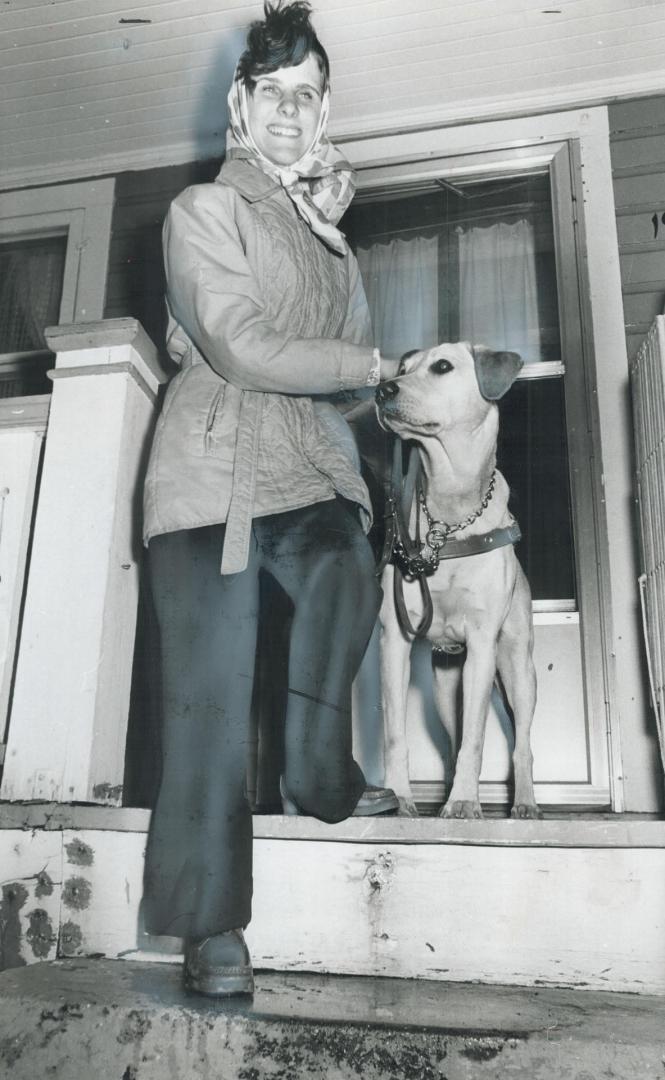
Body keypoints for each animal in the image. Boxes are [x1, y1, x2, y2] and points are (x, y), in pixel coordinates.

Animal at [375, 343, 537, 816]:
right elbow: (396, 734)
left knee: (521, 743)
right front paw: (399, 798)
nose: (381, 389)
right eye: (403, 368)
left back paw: (525, 803)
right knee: (451, 739)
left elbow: (477, 739)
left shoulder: (483, 642)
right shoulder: (395, 639)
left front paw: (464, 802)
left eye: (442, 367)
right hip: (446, 687)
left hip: (518, 669)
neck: (447, 519)